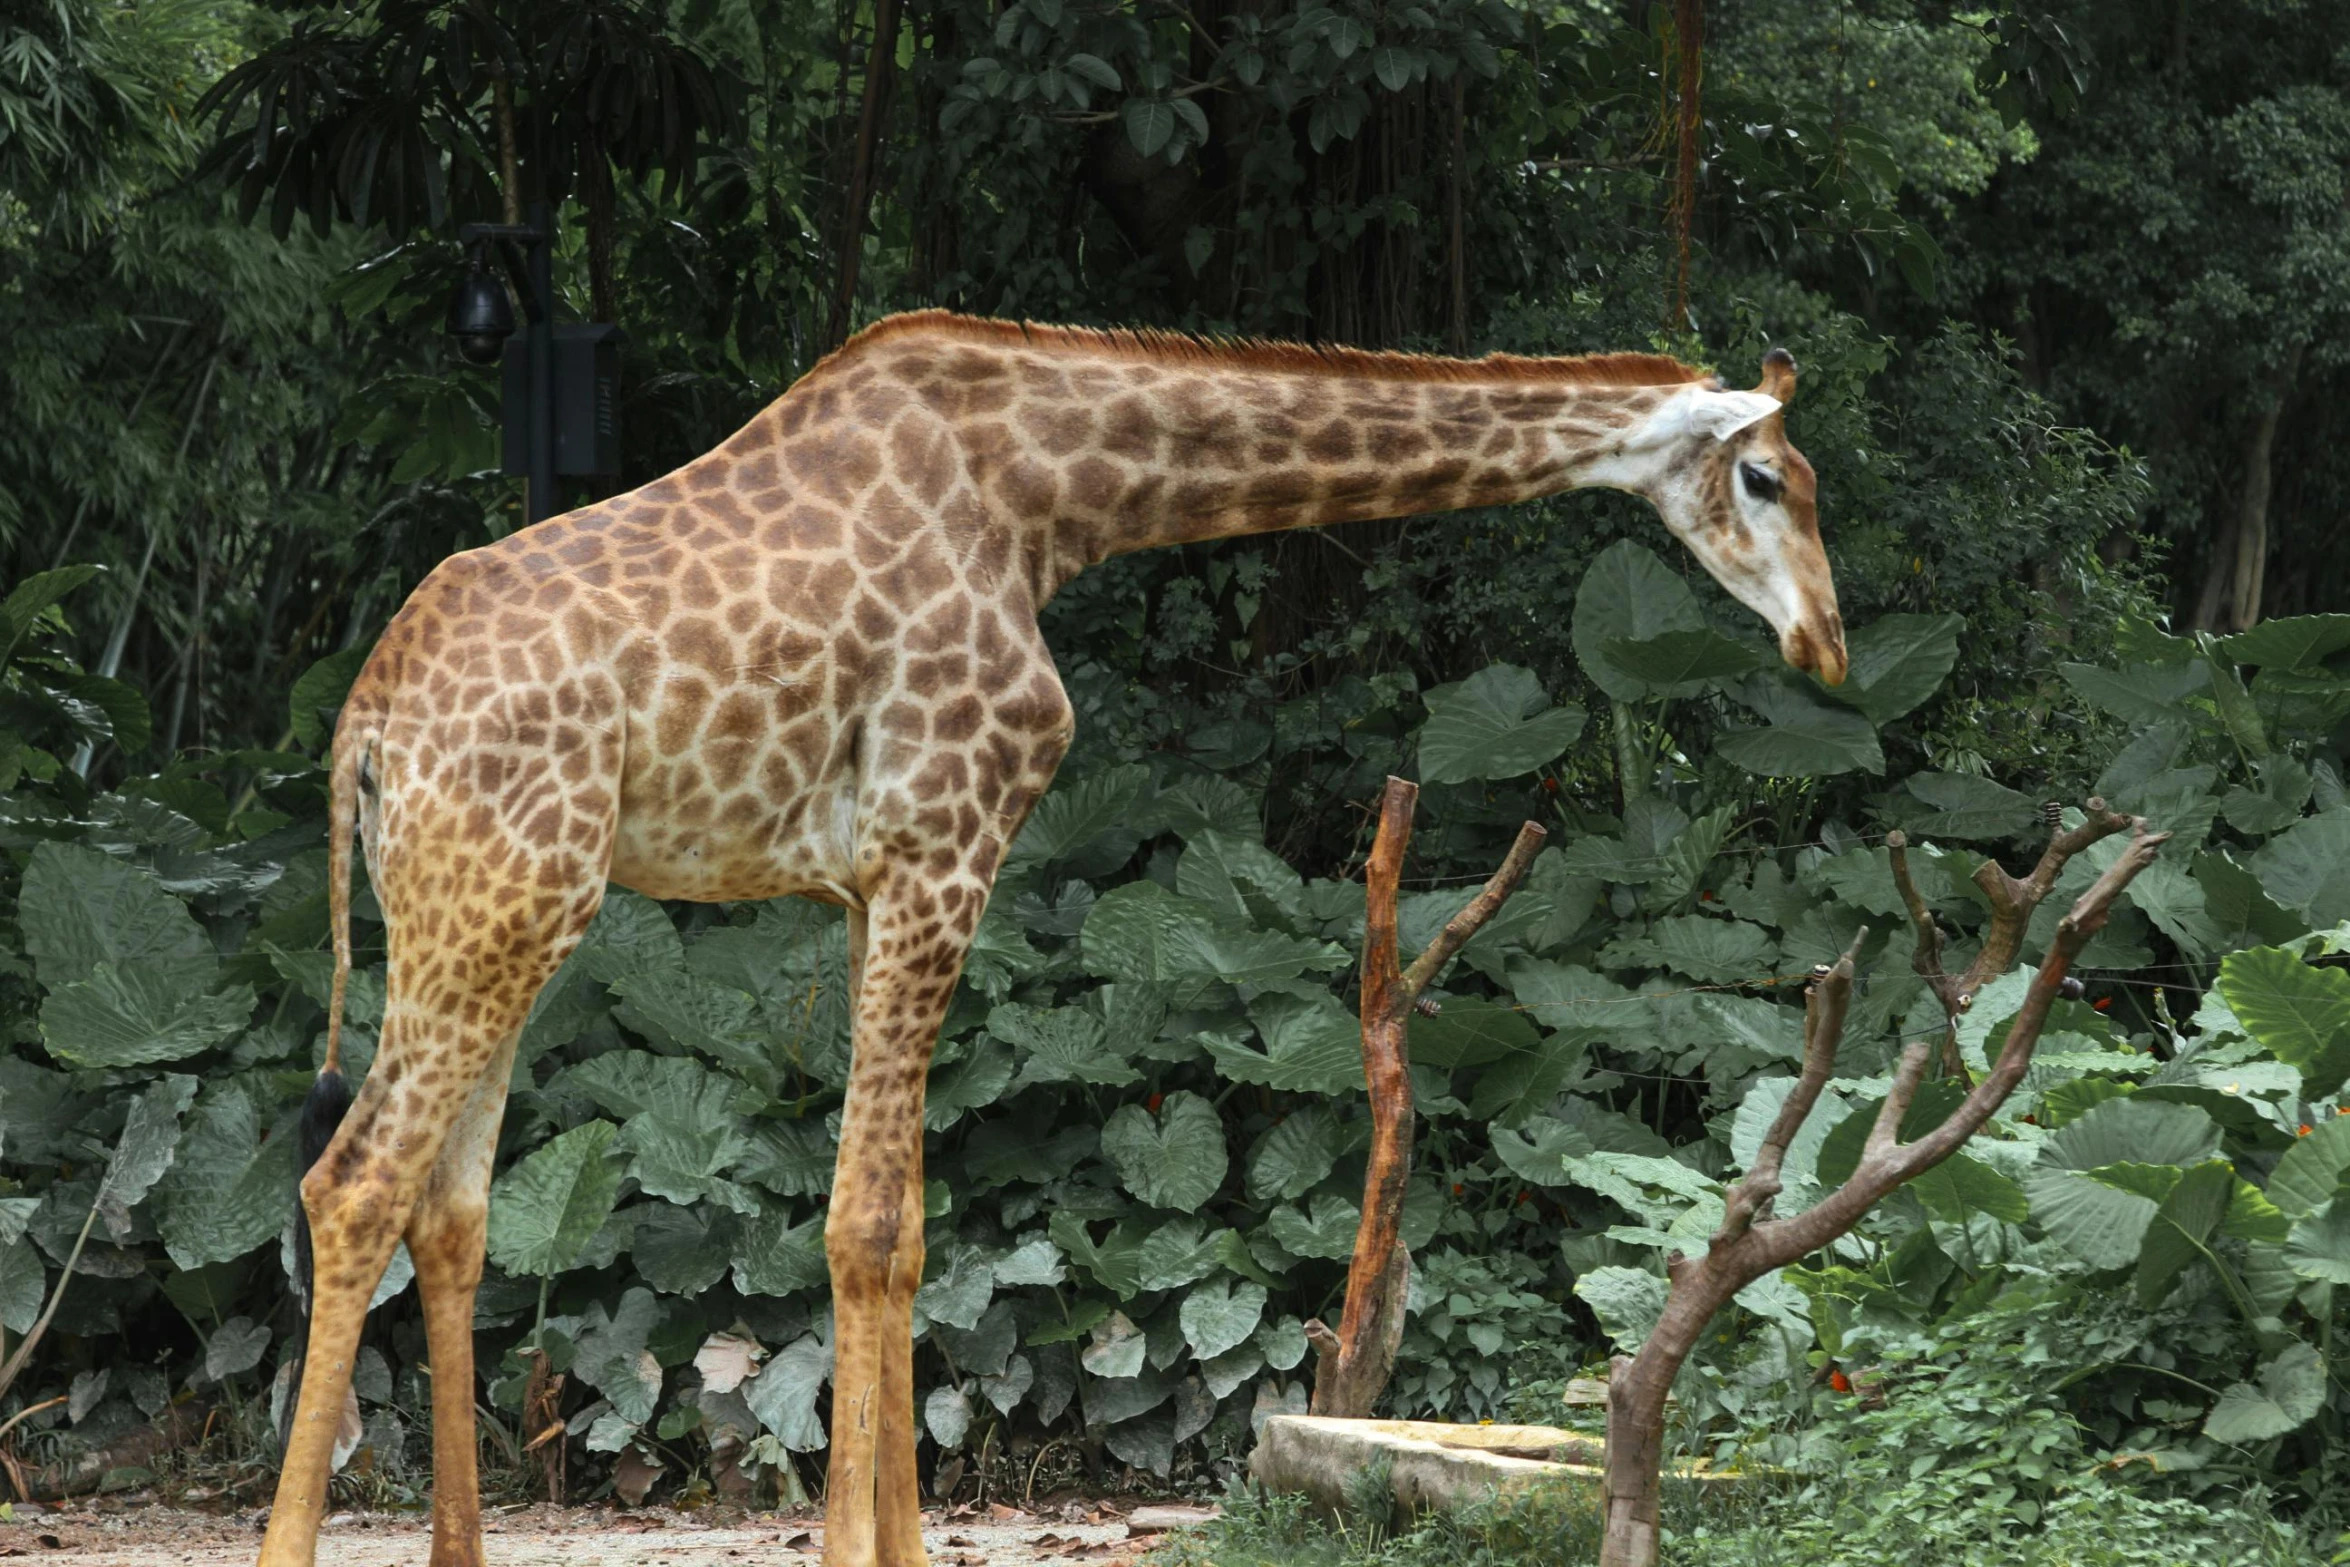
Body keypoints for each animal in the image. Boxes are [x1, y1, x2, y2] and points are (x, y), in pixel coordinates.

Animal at [266, 310, 1842, 1567]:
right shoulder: (942, 840)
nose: (1824, 643)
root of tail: (364, 730)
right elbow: (867, 1223)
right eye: (1766, 478)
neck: (1045, 496)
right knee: (353, 1183)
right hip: (498, 904)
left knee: (452, 1206)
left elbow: (898, 1231)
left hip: (505, 916)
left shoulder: (877, 881)